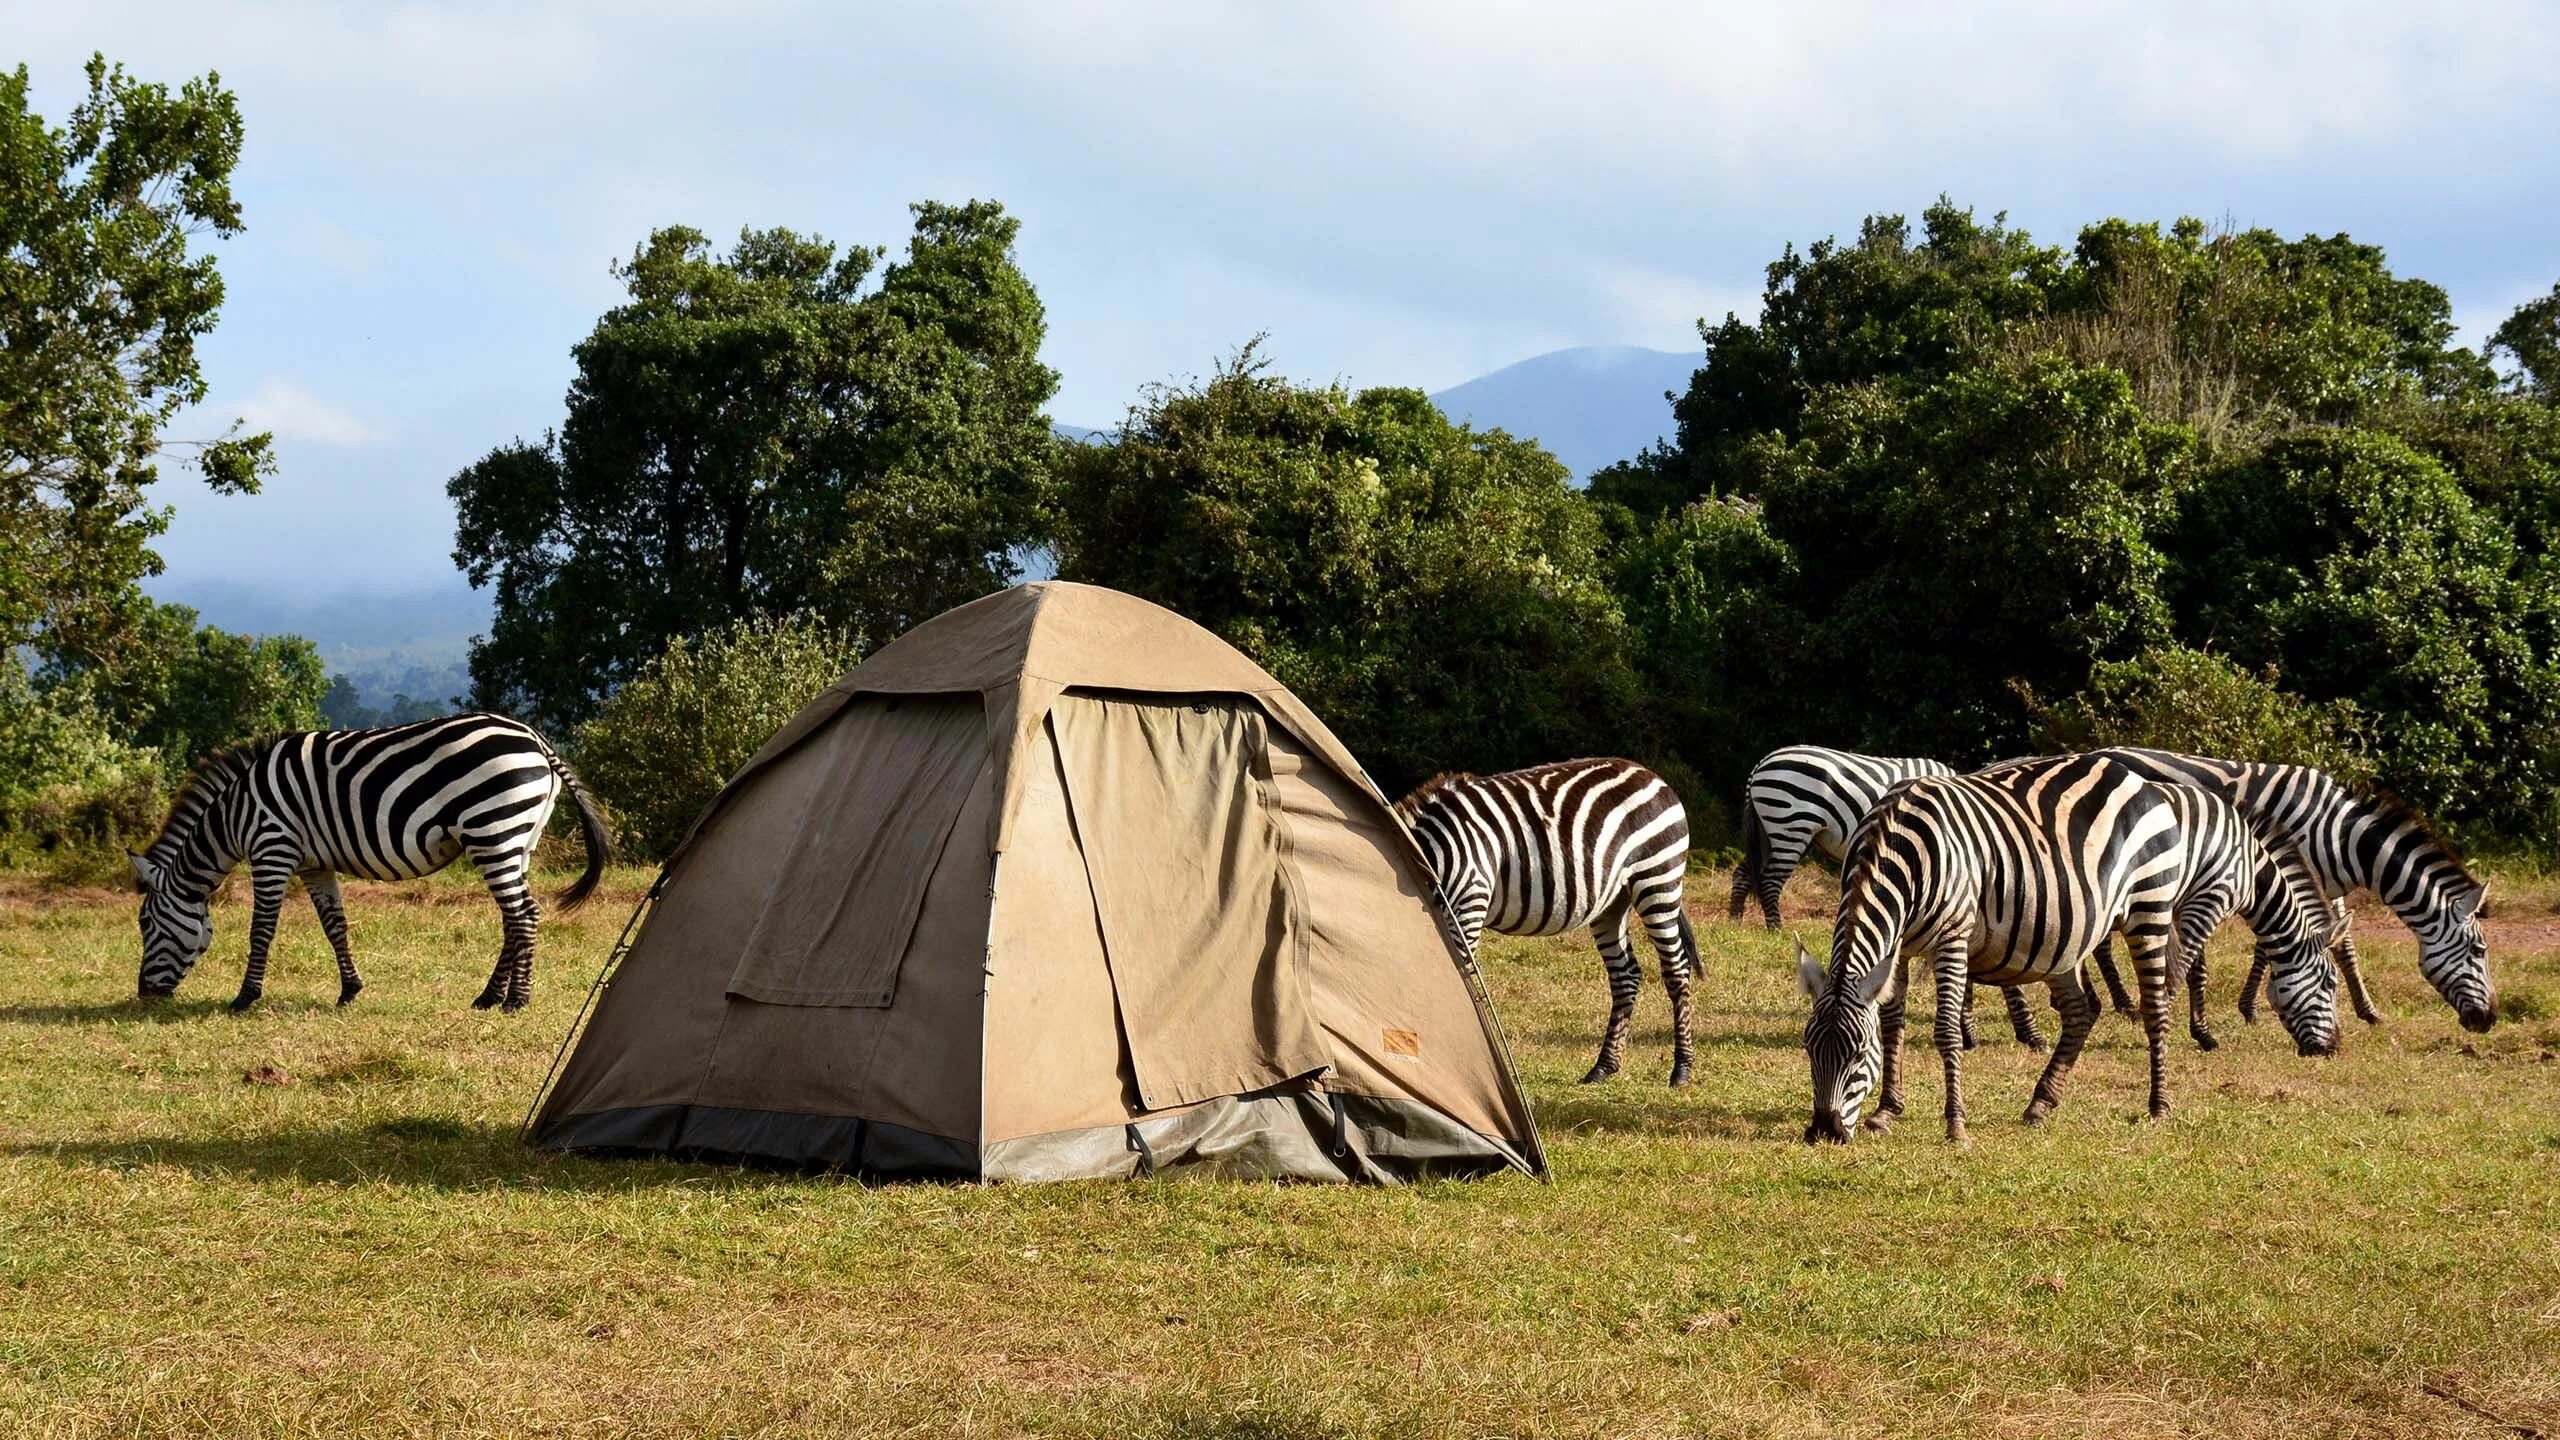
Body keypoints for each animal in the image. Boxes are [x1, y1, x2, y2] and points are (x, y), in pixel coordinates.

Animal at [137, 707, 616, 1009]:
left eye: (146, 925)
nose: (144, 993)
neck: (236, 815)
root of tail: (535, 740)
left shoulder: (272, 848)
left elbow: (261, 930)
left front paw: (245, 997)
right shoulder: (314, 863)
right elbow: (335, 925)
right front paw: (349, 990)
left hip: (492, 829)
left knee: (524, 915)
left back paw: (516, 1001)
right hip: (518, 839)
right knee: (513, 918)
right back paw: (488, 997)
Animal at [1402, 758, 1699, 1081]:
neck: (1433, 855)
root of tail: (1649, 773)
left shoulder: (1469, 900)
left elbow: (1457, 983)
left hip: (1657, 877)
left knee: (1676, 970)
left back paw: (1682, 1069)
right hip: (1613, 901)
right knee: (1625, 975)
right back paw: (1603, 1067)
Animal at [1730, 743, 2048, 1050]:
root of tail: (1761, 765)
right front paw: (2025, 1032)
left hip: (1771, 830)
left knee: (1743, 873)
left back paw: (1736, 919)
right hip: (1791, 824)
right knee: (1770, 880)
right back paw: (1775, 928)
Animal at [1802, 753, 2344, 1142]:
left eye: (1857, 1055)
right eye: (1809, 1050)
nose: (1825, 1133)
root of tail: (2138, 780)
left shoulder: (1952, 937)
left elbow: (1945, 1032)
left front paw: (1955, 1125)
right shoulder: (1901, 944)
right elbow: (1893, 1024)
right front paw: (1886, 1111)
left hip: (2150, 908)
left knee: (2155, 1006)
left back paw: (2157, 1105)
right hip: (2069, 933)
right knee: (2083, 1011)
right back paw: (2040, 1103)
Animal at [2078, 743, 2498, 1024]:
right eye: (2479, 950)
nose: (2489, 1019)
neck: (2342, 837)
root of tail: (2097, 751)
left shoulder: (2328, 887)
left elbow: (2344, 947)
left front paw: (2368, 1010)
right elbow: (2269, 948)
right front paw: (2249, 1008)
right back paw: (2123, 1002)